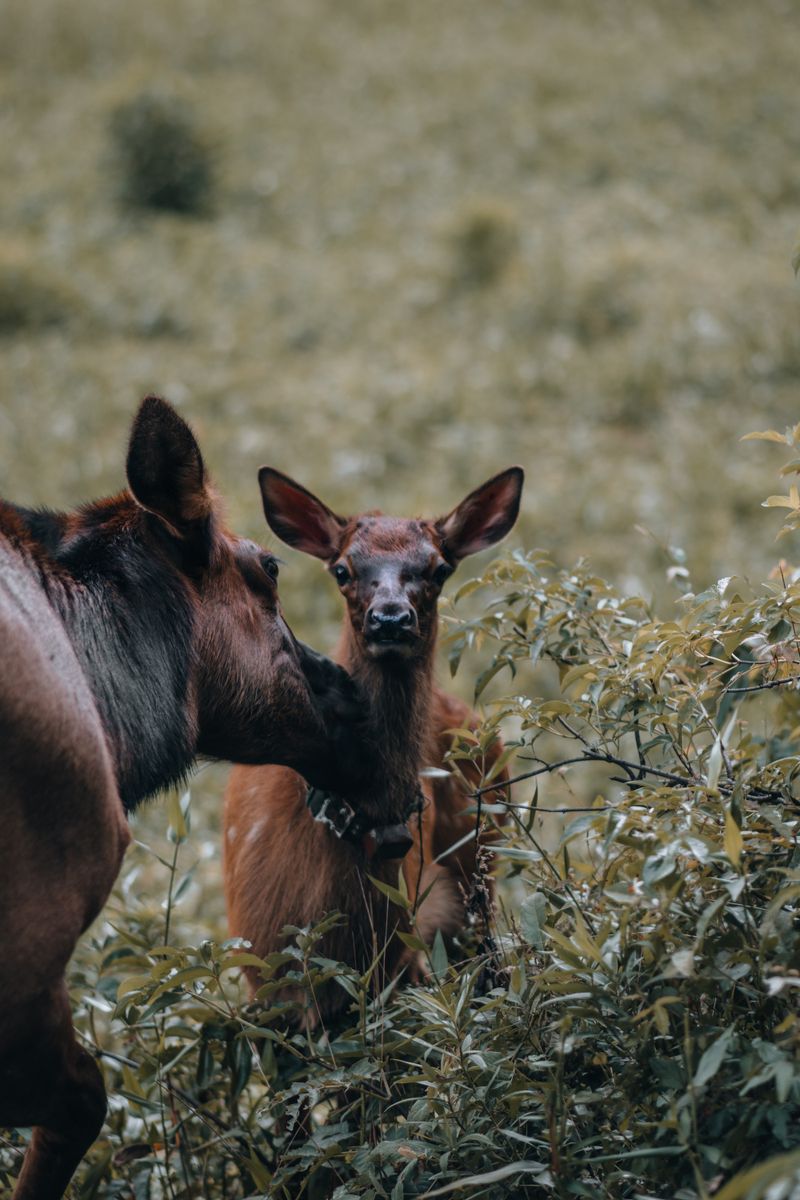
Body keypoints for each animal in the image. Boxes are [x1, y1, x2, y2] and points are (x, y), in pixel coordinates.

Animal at [223, 465, 523, 1021]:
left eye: (439, 568)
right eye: (342, 569)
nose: (390, 618)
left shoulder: (404, 963)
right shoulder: (265, 977)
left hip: (482, 861)